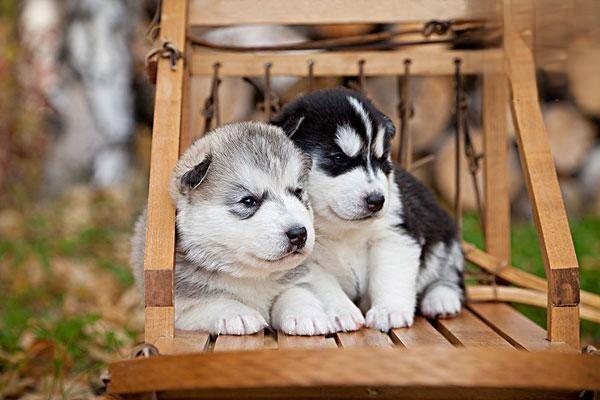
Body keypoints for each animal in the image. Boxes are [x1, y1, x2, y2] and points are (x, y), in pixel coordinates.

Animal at [132, 122, 344, 334]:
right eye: (248, 201)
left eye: (298, 193)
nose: (299, 234)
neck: (251, 277)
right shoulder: (181, 310)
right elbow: (213, 302)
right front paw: (239, 314)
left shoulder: (297, 278)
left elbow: (295, 292)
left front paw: (306, 314)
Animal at [272, 87, 464, 332]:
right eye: (338, 157)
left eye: (381, 159)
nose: (377, 200)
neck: (342, 229)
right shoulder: (305, 259)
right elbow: (325, 286)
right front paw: (342, 312)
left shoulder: (395, 234)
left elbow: (390, 275)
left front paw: (390, 311)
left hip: (446, 238)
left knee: (450, 276)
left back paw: (441, 298)